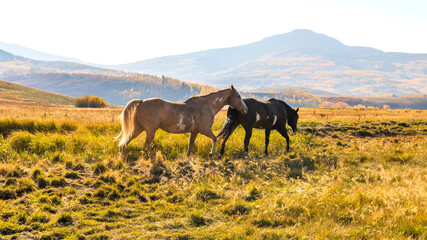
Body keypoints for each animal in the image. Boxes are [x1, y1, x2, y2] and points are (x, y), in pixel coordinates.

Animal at [115, 85, 249, 160]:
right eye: (238, 96)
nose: (246, 109)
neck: (206, 106)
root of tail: (141, 102)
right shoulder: (205, 130)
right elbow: (215, 138)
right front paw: (211, 154)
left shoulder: (194, 131)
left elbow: (190, 144)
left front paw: (187, 157)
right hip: (150, 131)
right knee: (147, 144)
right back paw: (153, 159)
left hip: (138, 129)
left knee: (126, 142)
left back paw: (122, 158)